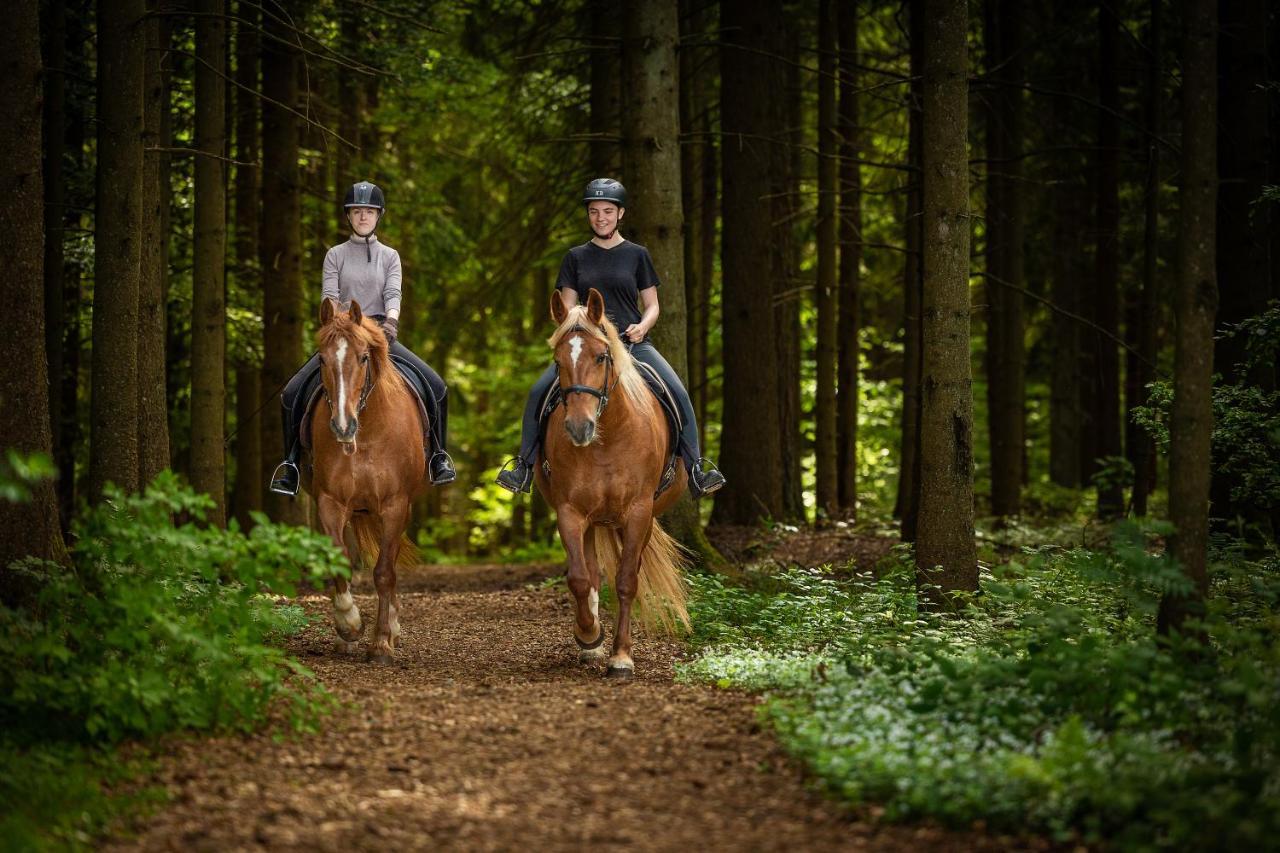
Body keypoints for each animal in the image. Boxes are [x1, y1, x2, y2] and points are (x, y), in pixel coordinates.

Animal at [303, 298, 424, 666]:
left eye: (363, 358)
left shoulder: (396, 505)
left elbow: (384, 571)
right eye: (322, 359)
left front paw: (382, 642)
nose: (343, 427)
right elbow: (339, 561)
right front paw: (350, 625)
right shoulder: (330, 502)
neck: (368, 432)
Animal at [532, 285, 691, 676]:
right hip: (592, 520)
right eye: (558, 361)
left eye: (602, 356)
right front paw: (589, 636)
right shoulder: (570, 512)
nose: (579, 427)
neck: (608, 438)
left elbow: (626, 581)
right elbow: (579, 578)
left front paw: (621, 656)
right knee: (590, 572)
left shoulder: (638, 513)